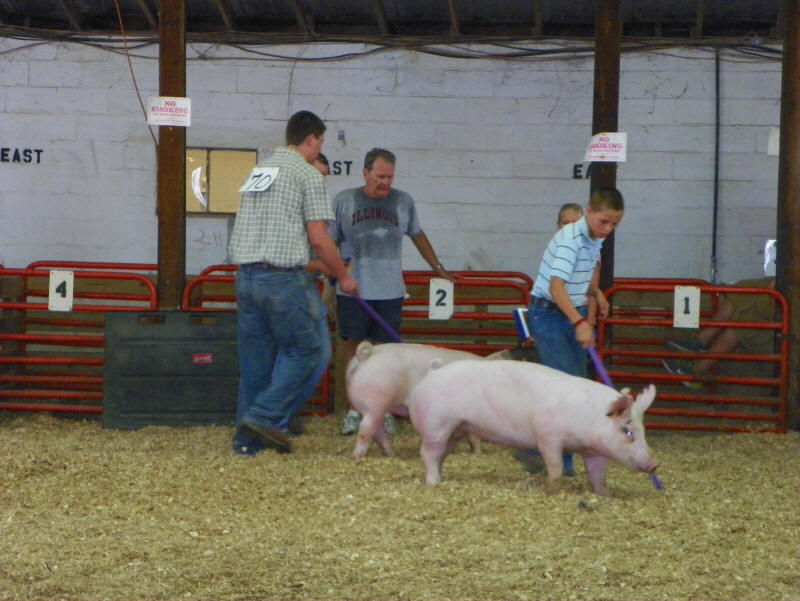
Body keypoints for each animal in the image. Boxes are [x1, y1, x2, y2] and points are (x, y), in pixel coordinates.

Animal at [346, 341, 485, 460]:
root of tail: (366, 355)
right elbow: (475, 436)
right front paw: (477, 453)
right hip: (375, 403)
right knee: (366, 430)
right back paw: (358, 457)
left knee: (378, 432)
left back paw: (391, 454)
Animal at [407, 359, 660, 496]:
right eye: (627, 431)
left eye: (643, 430)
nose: (655, 464)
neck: (586, 419)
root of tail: (431, 374)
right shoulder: (547, 436)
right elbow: (556, 466)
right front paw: (551, 490)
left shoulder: (593, 451)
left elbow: (598, 475)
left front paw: (605, 494)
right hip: (436, 425)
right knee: (428, 453)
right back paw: (433, 482)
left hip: (456, 429)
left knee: (441, 454)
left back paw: (441, 477)